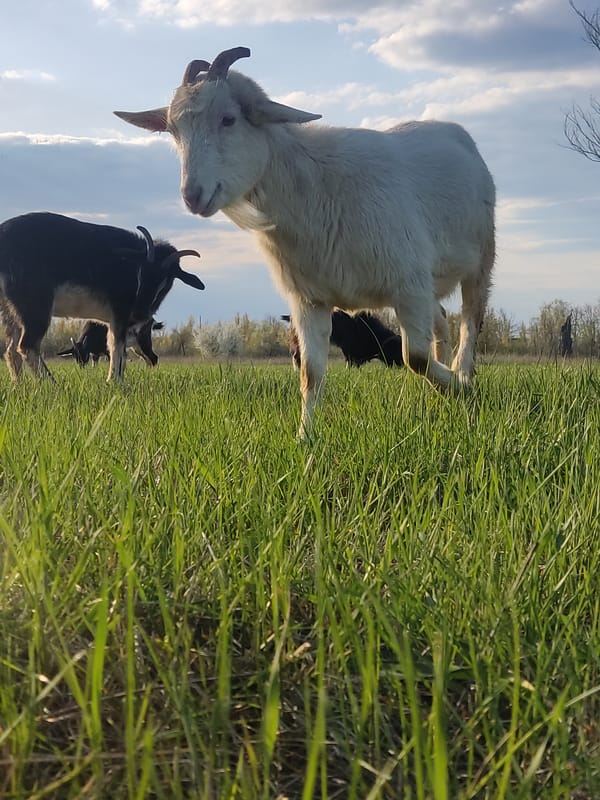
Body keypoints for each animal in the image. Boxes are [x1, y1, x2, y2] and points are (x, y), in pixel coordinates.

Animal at [0, 212, 205, 382]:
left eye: (166, 280)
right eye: (140, 272)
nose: (140, 313)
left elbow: (118, 350)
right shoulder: (120, 313)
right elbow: (115, 346)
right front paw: (114, 382)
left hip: (10, 309)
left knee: (11, 350)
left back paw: (19, 385)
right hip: (34, 304)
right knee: (27, 345)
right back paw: (52, 385)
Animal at [115, 46, 495, 436]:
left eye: (228, 119)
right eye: (174, 130)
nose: (192, 195)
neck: (314, 184)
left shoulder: (408, 283)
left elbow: (413, 357)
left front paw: (456, 386)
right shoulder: (310, 299)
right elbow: (311, 374)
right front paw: (305, 437)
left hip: (481, 258)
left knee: (469, 321)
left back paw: (463, 378)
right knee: (441, 322)